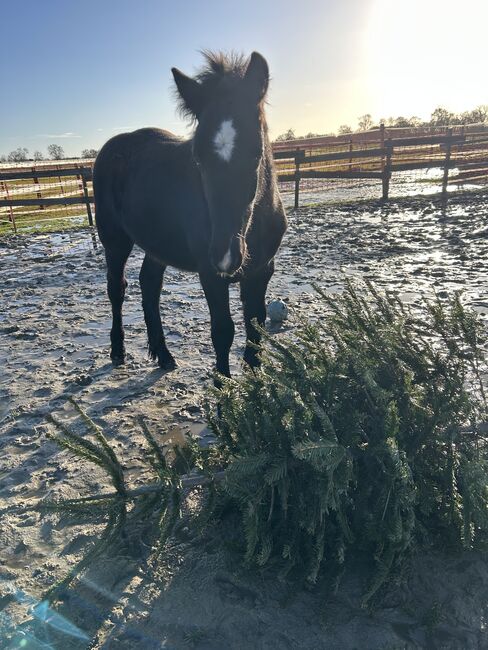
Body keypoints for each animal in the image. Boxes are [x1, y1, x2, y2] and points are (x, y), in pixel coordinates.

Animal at [92, 52, 286, 374]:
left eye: (256, 153)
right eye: (198, 157)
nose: (226, 255)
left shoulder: (262, 270)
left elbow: (255, 325)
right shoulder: (210, 274)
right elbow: (222, 332)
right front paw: (223, 387)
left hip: (157, 241)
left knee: (149, 284)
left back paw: (163, 354)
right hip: (114, 240)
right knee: (116, 288)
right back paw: (118, 350)